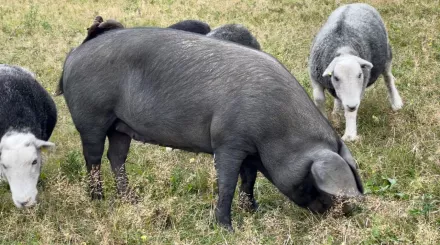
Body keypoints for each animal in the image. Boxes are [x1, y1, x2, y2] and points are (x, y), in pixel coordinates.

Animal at [308, 3, 404, 142]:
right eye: (336, 77)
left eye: (359, 75)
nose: (351, 105)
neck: (343, 49)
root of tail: (356, 3)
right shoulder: (315, 78)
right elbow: (319, 99)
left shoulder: (360, 87)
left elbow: (350, 112)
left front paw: (349, 135)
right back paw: (337, 111)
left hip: (387, 55)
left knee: (388, 78)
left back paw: (396, 102)